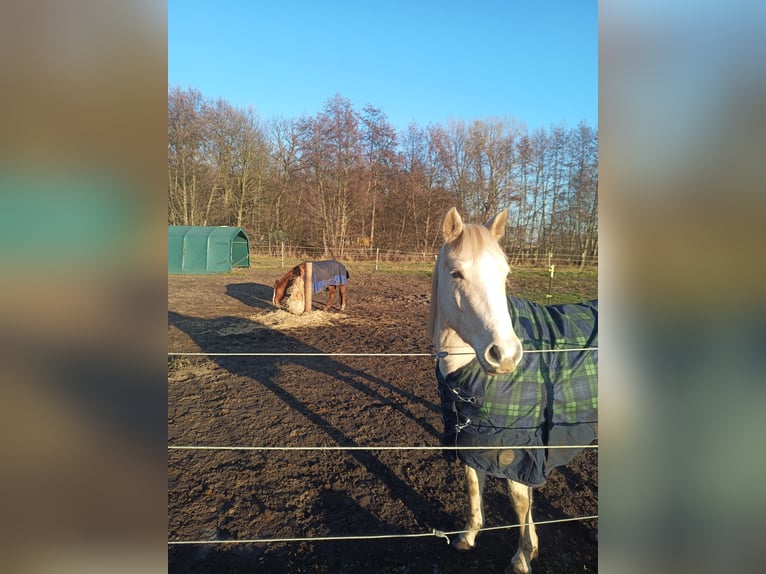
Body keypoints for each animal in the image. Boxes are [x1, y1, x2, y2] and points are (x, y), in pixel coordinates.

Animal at [428, 208, 598, 574]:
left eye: (505, 275)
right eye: (456, 273)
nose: (505, 355)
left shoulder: (518, 445)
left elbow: (520, 500)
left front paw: (522, 556)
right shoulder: (472, 437)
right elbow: (474, 484)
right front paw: (469, 537)